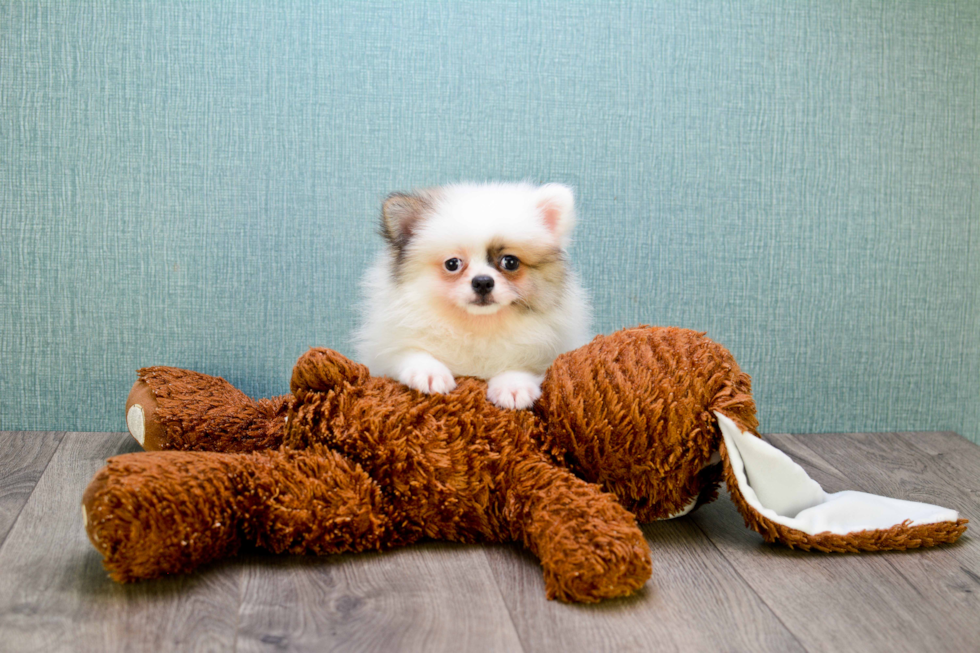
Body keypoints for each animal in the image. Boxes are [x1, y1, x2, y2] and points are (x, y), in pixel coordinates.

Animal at [356, 182, 592, 408]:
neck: (477, 325)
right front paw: (429, 373)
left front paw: (514, 387)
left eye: (510, 262)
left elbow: (522, 365)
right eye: (452, 264)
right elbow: (410, 353)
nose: (483, 282)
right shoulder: (385, 352)